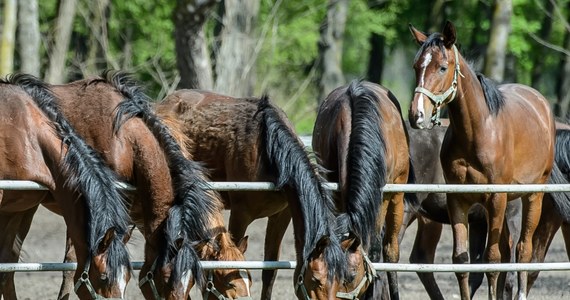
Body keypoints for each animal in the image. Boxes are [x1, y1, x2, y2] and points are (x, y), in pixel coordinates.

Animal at [153, 91, 346, 300]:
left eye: (340, 280)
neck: (268, 152)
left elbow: (270, 271)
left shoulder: (281, 215)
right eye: (317, 280)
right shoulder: (240, 214)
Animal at [406, 21, 556, 300]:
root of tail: (541, 103)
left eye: (442, 67)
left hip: (532, 197)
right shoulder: (458, 201)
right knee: (509, 249)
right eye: (416, 66)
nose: (416, 115)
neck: (477, 133)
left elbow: (492, 260)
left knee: (523, 249)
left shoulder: (494, 200)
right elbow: (462, 261)